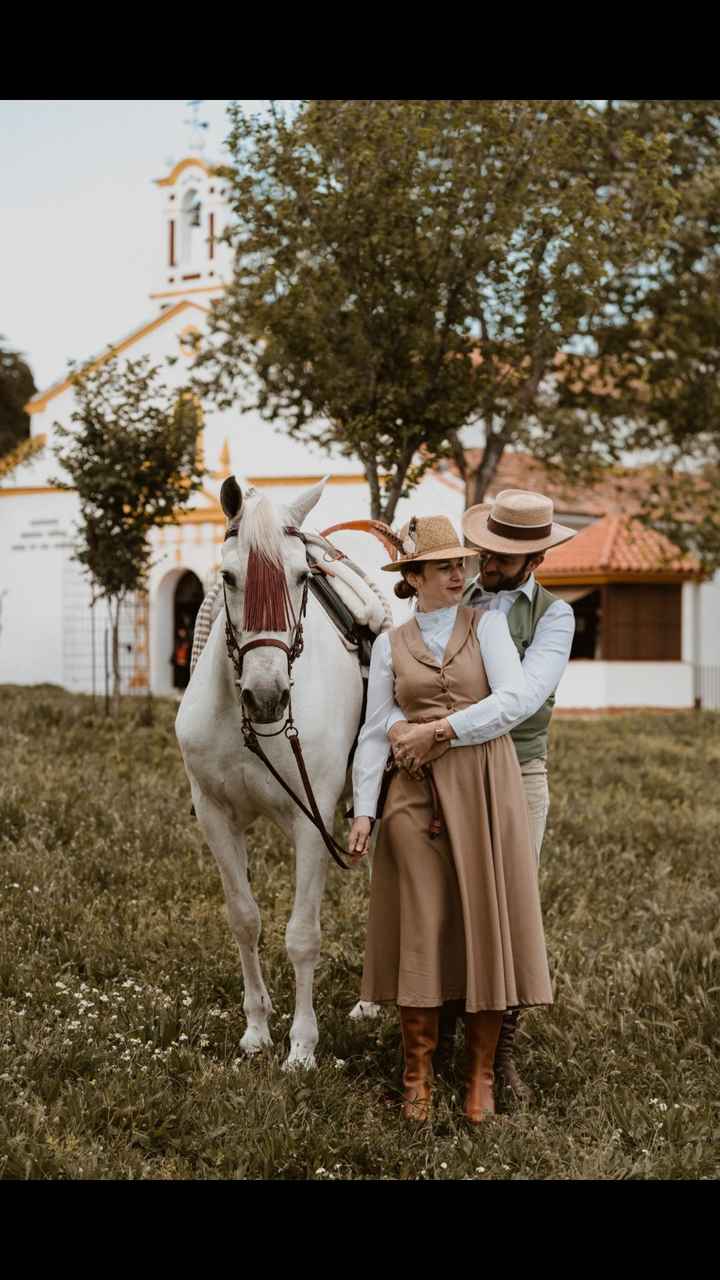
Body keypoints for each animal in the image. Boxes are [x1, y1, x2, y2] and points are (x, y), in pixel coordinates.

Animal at [175, 476, 371, 1064]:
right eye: (228, 576)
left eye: (302, 576)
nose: (266, 696)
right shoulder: (215, 815)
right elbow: (245, 919)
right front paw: (257, 1029)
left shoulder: (313, 821)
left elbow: (302, 934)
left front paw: (302, 1047)